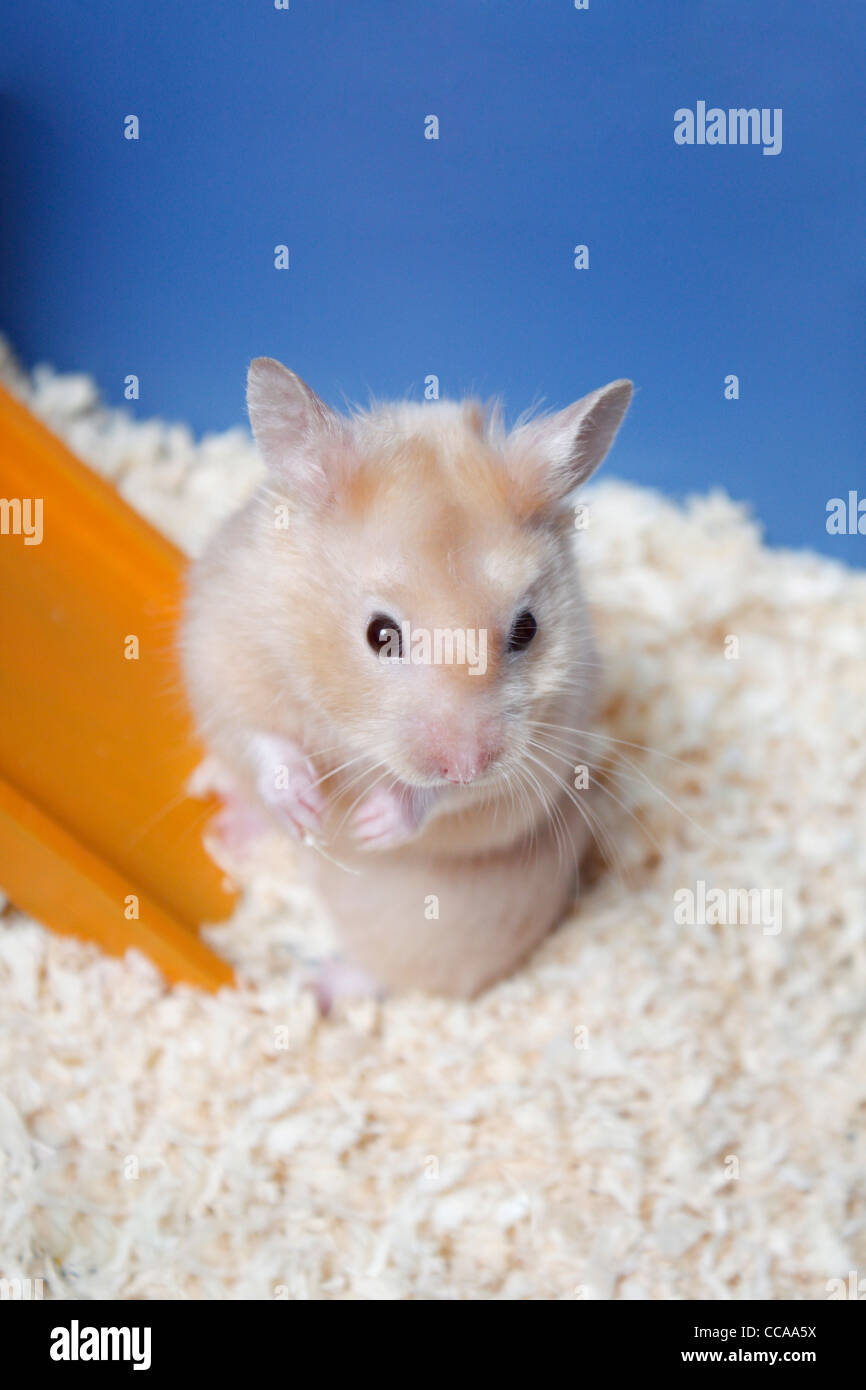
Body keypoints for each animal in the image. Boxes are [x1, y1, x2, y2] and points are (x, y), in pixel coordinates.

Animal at [182, 358, 632, 1002]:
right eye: (380, 634)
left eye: (527, 628)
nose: (467, 762)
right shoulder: (226, 657)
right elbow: (265, 739)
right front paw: (308, 808)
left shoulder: (536, 754)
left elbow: (450, 797)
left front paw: (370, 825)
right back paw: (234, 826)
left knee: (379, 975)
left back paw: (316, 985)